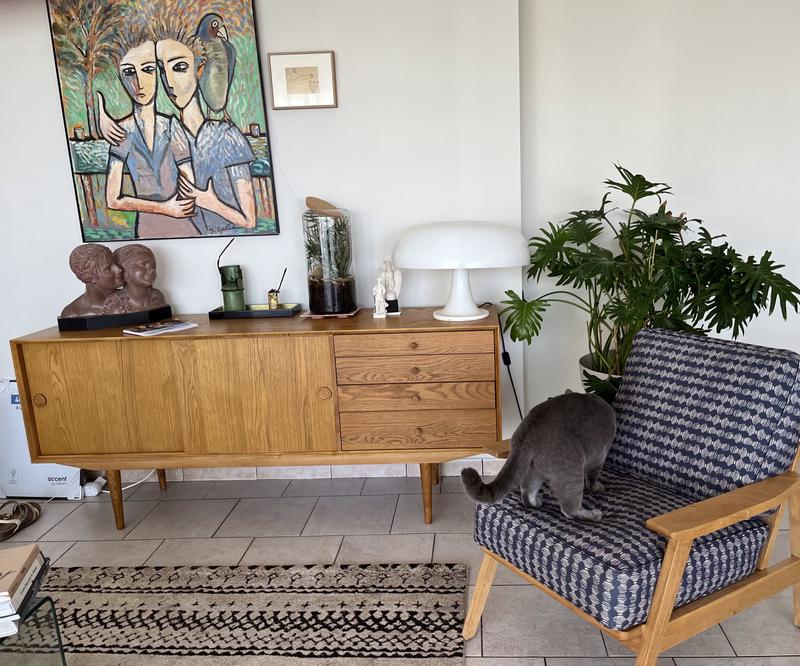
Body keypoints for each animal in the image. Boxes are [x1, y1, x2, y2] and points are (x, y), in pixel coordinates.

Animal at [461, 391, 617, 521]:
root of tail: (528, 430)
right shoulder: (599, 457)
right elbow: (592, 479)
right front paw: (597, 487)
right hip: (572, 467)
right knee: (569, 508)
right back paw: (593, 515)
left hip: (532, 468)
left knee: (527, 493)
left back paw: (536, 503)